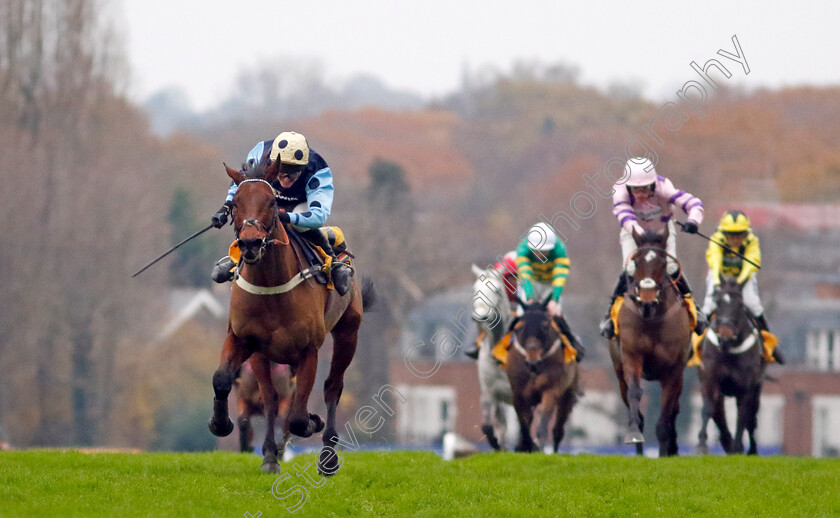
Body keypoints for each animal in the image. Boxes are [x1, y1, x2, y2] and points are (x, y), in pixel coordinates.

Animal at [208, 159, 374, 476]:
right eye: (234, 203)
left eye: (272, 202)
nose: (250, 244)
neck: (272, 286)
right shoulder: (245, 341)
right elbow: (224, 380)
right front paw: (223, 425)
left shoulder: (309, 350)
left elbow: (296, 418)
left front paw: (312, 422)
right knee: (275, 399)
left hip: (349, 333)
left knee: (332, 387)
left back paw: (327, 457)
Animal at [608, 230, 692, 458]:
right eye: (636, 262)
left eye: (663, 264)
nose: (646, 301)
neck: (652, 319)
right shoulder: (631, 357)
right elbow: (635, 394)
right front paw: (634, 434)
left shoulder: (673, 371)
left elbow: (666, 417)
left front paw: (665, 451)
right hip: (618, 372)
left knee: (674, 411)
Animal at [696, 276, 768, 456]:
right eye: (718, 301)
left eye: (740, 303)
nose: (725, 334)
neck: (728, 349)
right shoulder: (710, 380)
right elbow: (708, 408)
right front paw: (702, 445)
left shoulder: (746, 387)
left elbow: (742, 416)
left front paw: (738, 447)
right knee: (719, 414)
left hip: (756, 389)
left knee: (752, 418)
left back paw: (750, 449)